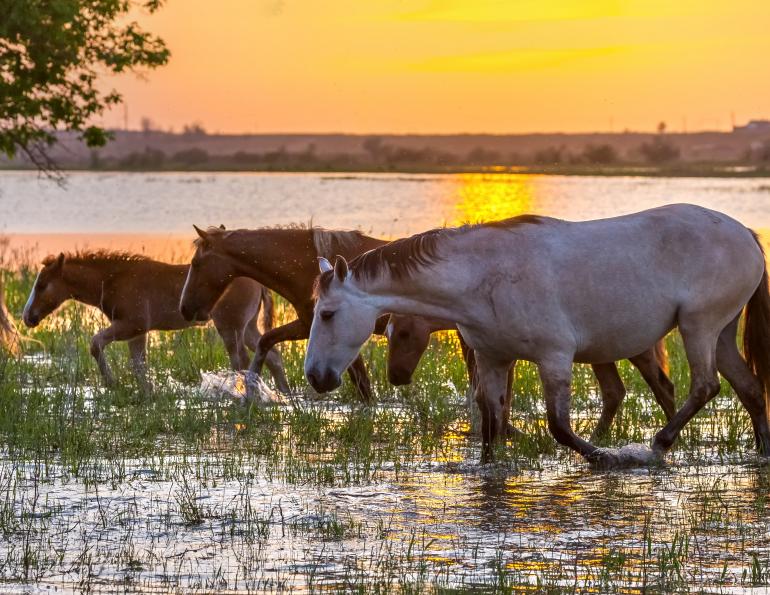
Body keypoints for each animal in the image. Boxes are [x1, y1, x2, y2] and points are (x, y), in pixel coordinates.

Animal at [22, 251, 289, 392]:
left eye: (42, 284)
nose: (27, 317)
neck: (110, 281)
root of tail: (260, 284)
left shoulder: (132, 324)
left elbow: (96, 343)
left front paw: (111, 382)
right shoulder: (139, 332)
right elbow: (139, 365)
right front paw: (148, 393)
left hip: (230, 325)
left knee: (241, 360)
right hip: (248, 326)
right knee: (272, 356)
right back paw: (284, 393)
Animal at [179, 225, 388, 402]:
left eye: (195, 263)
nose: (184, 308)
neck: (307, 267)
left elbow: (362, 385)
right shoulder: (306, 325)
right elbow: (266, 340)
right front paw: (252, 388)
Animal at [385, 314, 676, 440]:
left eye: (403, 333)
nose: (395, 376)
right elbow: (494, 398)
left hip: (637, 350)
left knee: (663, 386)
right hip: (602, 354)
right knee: (614, 391)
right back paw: (596, 439)